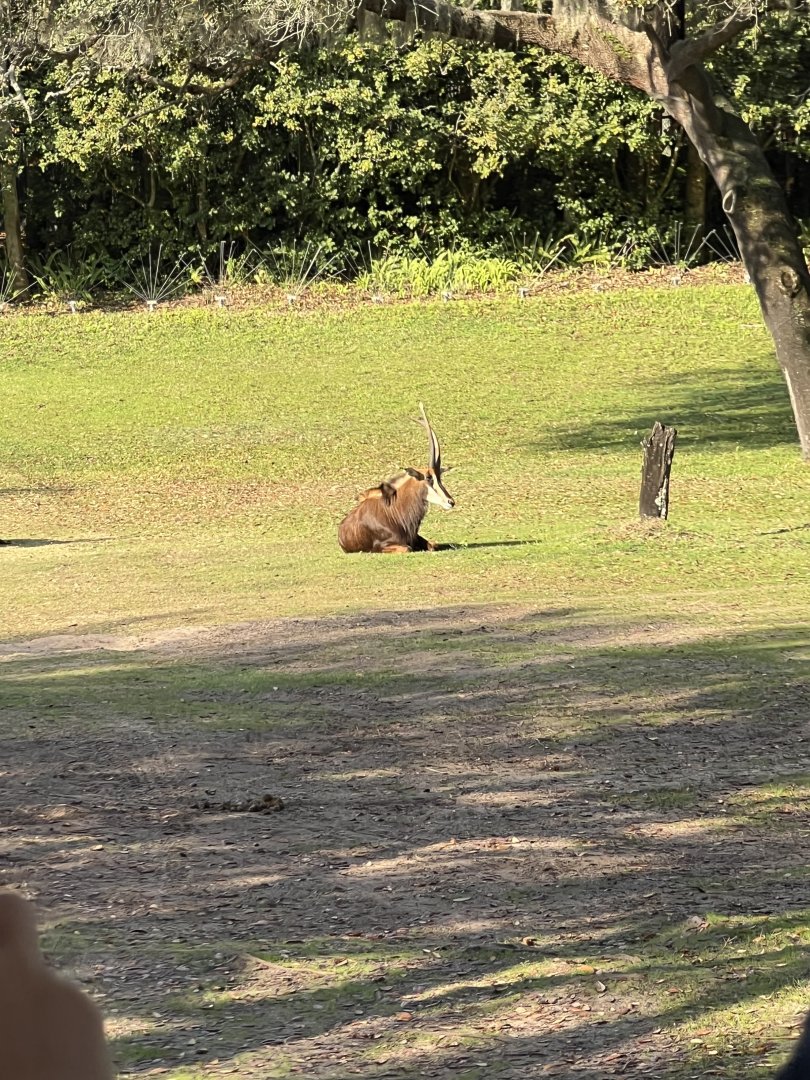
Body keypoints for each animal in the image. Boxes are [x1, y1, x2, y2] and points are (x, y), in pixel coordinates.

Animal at [338, 404, 455, 554]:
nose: (451, 502)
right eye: (428, 478)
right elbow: (407, 548)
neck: (395, 510)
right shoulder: (383, 546)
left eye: (439, 478)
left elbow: (433, 545)